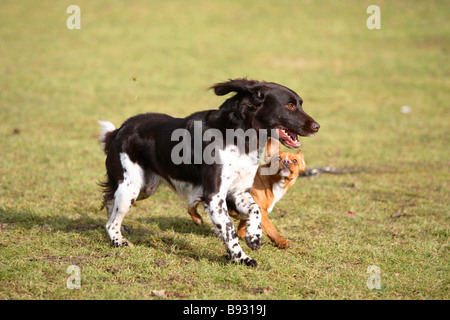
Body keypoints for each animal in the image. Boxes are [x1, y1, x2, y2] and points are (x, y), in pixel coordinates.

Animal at [98, 78, 318, 268]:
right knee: (111, 221)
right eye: (289, 106)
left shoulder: (239, 191)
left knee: (109, 201)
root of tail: (119, 130)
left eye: (300, 104)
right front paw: (242, 258)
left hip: (143, 188)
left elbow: (254, 210)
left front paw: (254, 237)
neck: (239, 135)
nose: (317, 126)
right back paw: (118, 240)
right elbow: (229, 230)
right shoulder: (214, 196)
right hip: (131, 187)